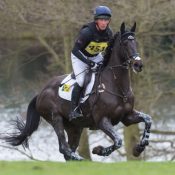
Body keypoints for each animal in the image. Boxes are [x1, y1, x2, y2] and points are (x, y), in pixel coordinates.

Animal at [2, 22, 152, 161]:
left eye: (135, 42)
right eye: (125, 43)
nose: (138, 65)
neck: (116, 86)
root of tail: (41, 92)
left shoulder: (127, 116)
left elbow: (148, 119)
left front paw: (138, 149)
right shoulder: (102, 120)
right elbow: (118, 141)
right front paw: (99, 150)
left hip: (75, 127)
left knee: (69, 149)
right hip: (55, 118)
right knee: (64, 148)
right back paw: (81, 159)